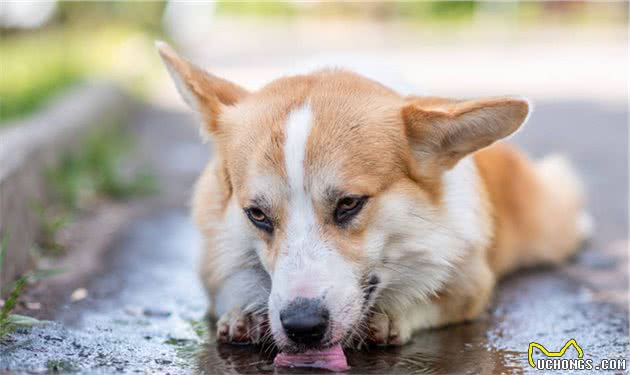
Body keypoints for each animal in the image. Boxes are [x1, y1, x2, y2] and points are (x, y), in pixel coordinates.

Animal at [157, 42, 592, 354]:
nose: (302, 328)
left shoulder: (470, 282)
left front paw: (392, 316)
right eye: (257, 214)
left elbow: (437, 297)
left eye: (350, 204)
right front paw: (245, 313)